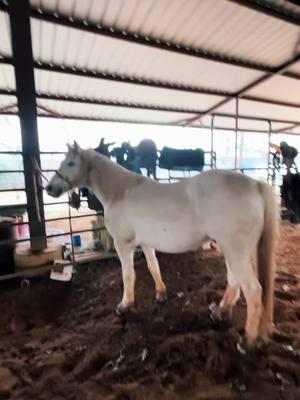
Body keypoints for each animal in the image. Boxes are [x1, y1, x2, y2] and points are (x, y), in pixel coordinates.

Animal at [46, 142, 278, 348]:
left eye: (70, 163)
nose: (49, 188)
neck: (120, 191)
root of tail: (255, 184)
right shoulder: (146, 243)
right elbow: (153, 267)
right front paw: (161, 294)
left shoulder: (123, 244)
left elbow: (128, 275)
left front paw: (125, 305)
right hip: (231, 250)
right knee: (234, 282)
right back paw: (220, 313)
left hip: (235, 250)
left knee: (253, 290)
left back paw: (247, 341)